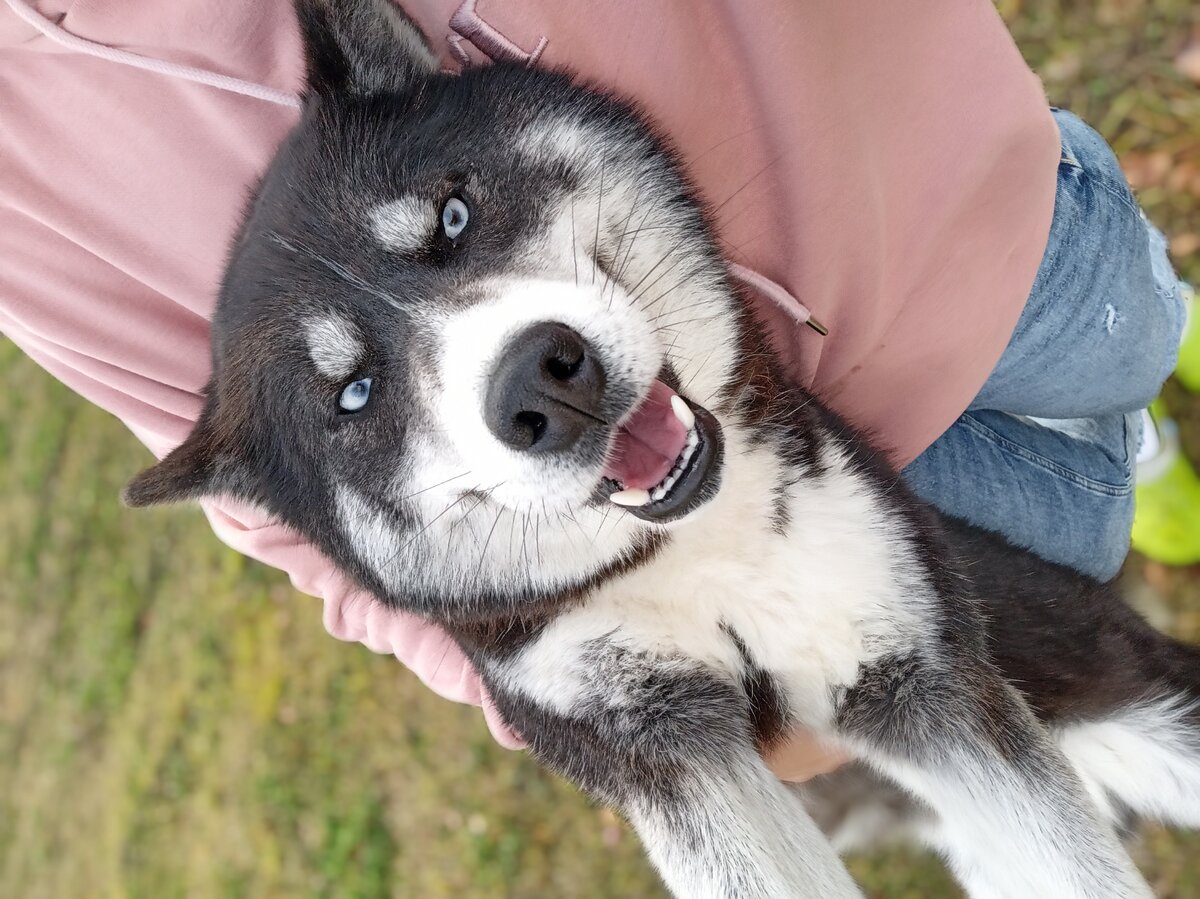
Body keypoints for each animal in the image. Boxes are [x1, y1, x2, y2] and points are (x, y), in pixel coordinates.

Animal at [124, 3, 1200, 892]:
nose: (541, 383)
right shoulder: (660, 757)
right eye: (352, 396)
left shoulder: (911, 671)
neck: (698, 554)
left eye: (452, 216)